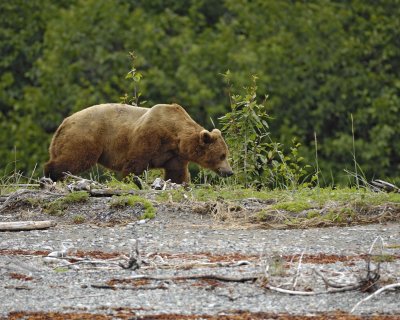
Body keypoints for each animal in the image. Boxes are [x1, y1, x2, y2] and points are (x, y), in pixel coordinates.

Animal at [44, 104, 233, 184]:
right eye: (222, 155)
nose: (229, 172)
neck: (174, 137)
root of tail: (64, 123)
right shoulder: (148, 138)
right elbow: (135, 165)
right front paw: (133, 181)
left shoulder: (174, 155)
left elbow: (177, 173)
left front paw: (181, 184)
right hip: (85, 137)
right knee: (74, 158)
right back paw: (51, 175)